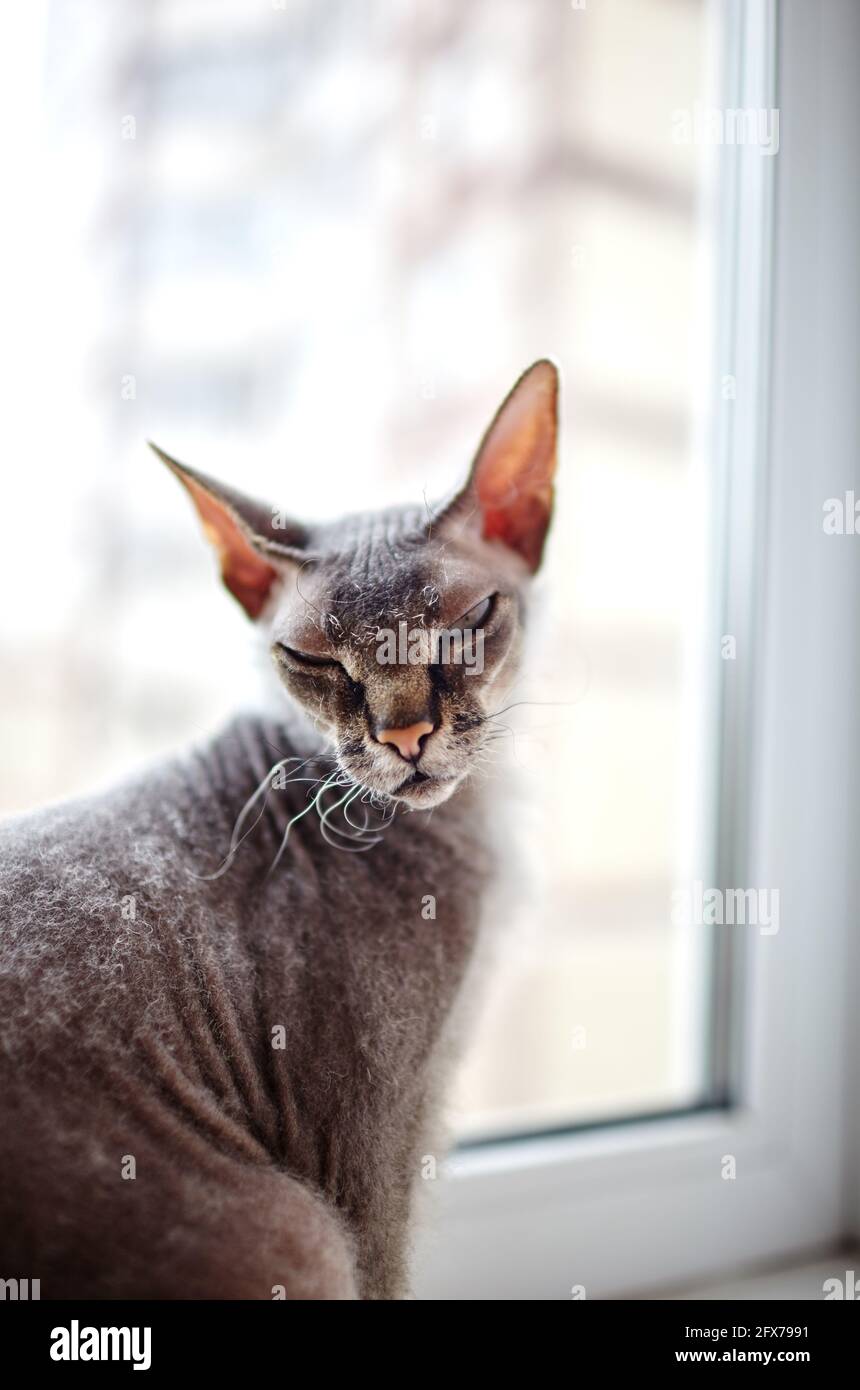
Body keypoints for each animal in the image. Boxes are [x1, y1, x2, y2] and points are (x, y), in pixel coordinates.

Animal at [0, 361, 558, 1301]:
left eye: (465, 625)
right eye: (316, 661)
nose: (405, 735)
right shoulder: (371, 1157)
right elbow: (388, 1272)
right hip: (296, 1227)